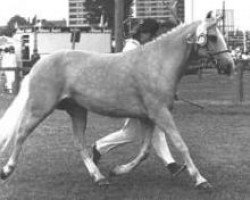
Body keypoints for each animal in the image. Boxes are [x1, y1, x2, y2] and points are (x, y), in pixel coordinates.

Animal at [0, 11, 234, 190]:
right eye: (213, 37)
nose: (229, 65)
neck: (157, 63)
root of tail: (39, 63)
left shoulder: (148, 117)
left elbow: (145, 150)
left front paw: (119, 170)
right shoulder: (160, 113)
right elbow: (180, 144)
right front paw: (201, 179)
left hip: (77, 111)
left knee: (80, 144)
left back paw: (99, 177)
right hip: (40, 108)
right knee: (21, 134)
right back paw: (7, 170)